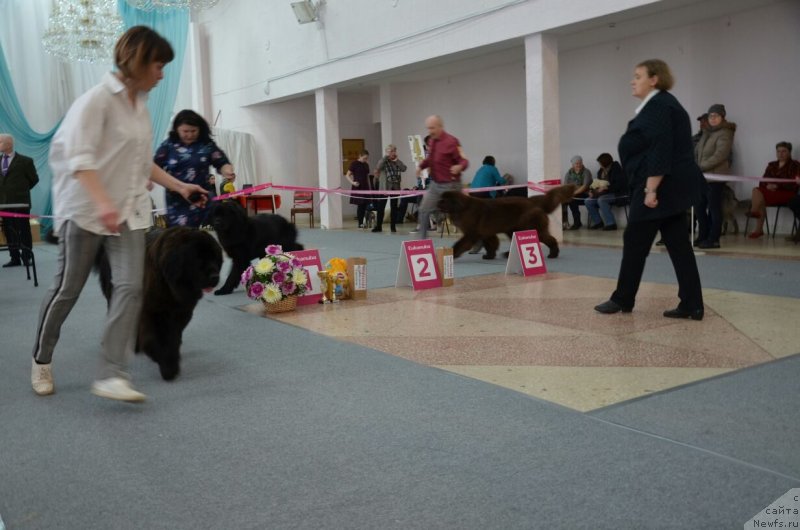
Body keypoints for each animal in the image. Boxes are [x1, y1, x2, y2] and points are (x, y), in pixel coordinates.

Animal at [100, 225, 225, 378]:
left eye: (215, 258)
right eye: (198, 258)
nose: (214, 276)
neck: (169, 283)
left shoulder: (181, 311)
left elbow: (173, 336)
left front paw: (170, 360)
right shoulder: (150, 310)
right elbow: (152, 337)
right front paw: (164, 362)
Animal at [438, 184, 576, 260]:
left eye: (445, 200)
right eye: (441, 199)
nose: (437, 203)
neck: (462, 208)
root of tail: (532, 201)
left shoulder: (471, 234)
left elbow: (460, 244)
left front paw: (452, 254)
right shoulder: (485, 233)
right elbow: (491, 244)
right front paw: (489, 256)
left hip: (529, 228)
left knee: (550, 239)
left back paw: (553, 253)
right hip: (514, 230)